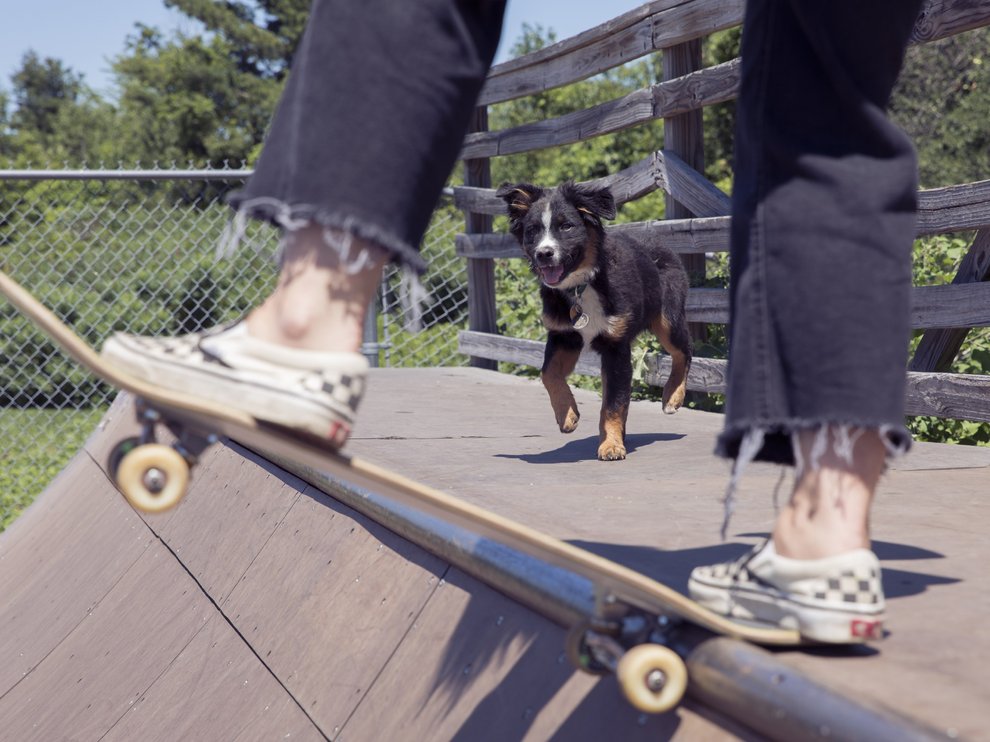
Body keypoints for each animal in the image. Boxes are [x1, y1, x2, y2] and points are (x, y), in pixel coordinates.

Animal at [500, 180, 692, 460]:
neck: (581, 286)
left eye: (566, 226)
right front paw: (567, 415)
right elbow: (548, 373)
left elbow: (613, 403)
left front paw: (611, 445)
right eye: (532, 230)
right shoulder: (563, 336)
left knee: (684, 352)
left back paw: (672, 397)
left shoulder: (616, 347)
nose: (544, 253)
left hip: (668, 318)